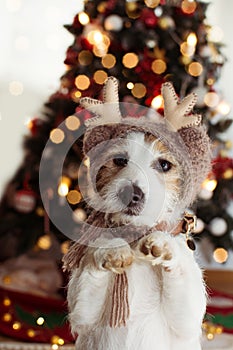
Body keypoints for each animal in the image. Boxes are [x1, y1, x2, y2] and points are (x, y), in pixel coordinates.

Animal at [63, 77, 211, 350]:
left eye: (164, 165)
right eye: (120, 160)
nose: (130, 194)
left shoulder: (187, 318)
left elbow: (181, 270)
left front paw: (163, 244)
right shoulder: (82, 312)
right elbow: (96, 257)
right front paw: (111, 250)